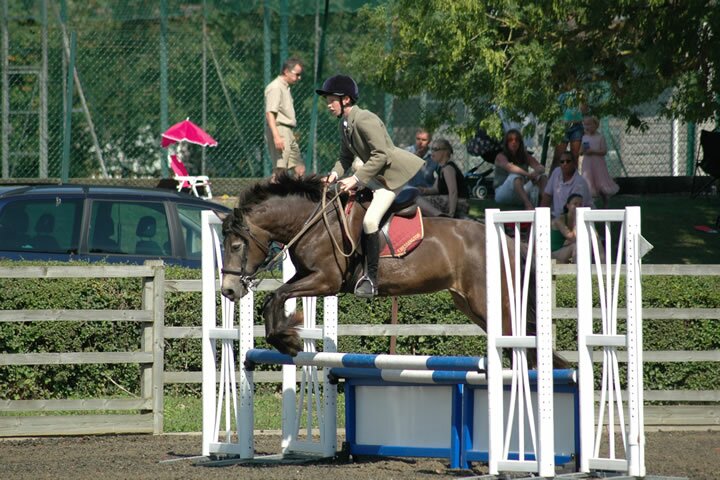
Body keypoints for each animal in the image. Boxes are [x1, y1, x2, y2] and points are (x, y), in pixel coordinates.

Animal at [219, 174, 568, 366]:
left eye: (235, 246)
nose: (229, 290)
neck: (314, 221)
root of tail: (507, 239)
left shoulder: (326, 281)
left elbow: (278, 295)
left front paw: (288, 340)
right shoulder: (307, 275)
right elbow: (274, 297)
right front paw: (287, 335)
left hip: (489, 302)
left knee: (520, 341)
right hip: (469, 305)